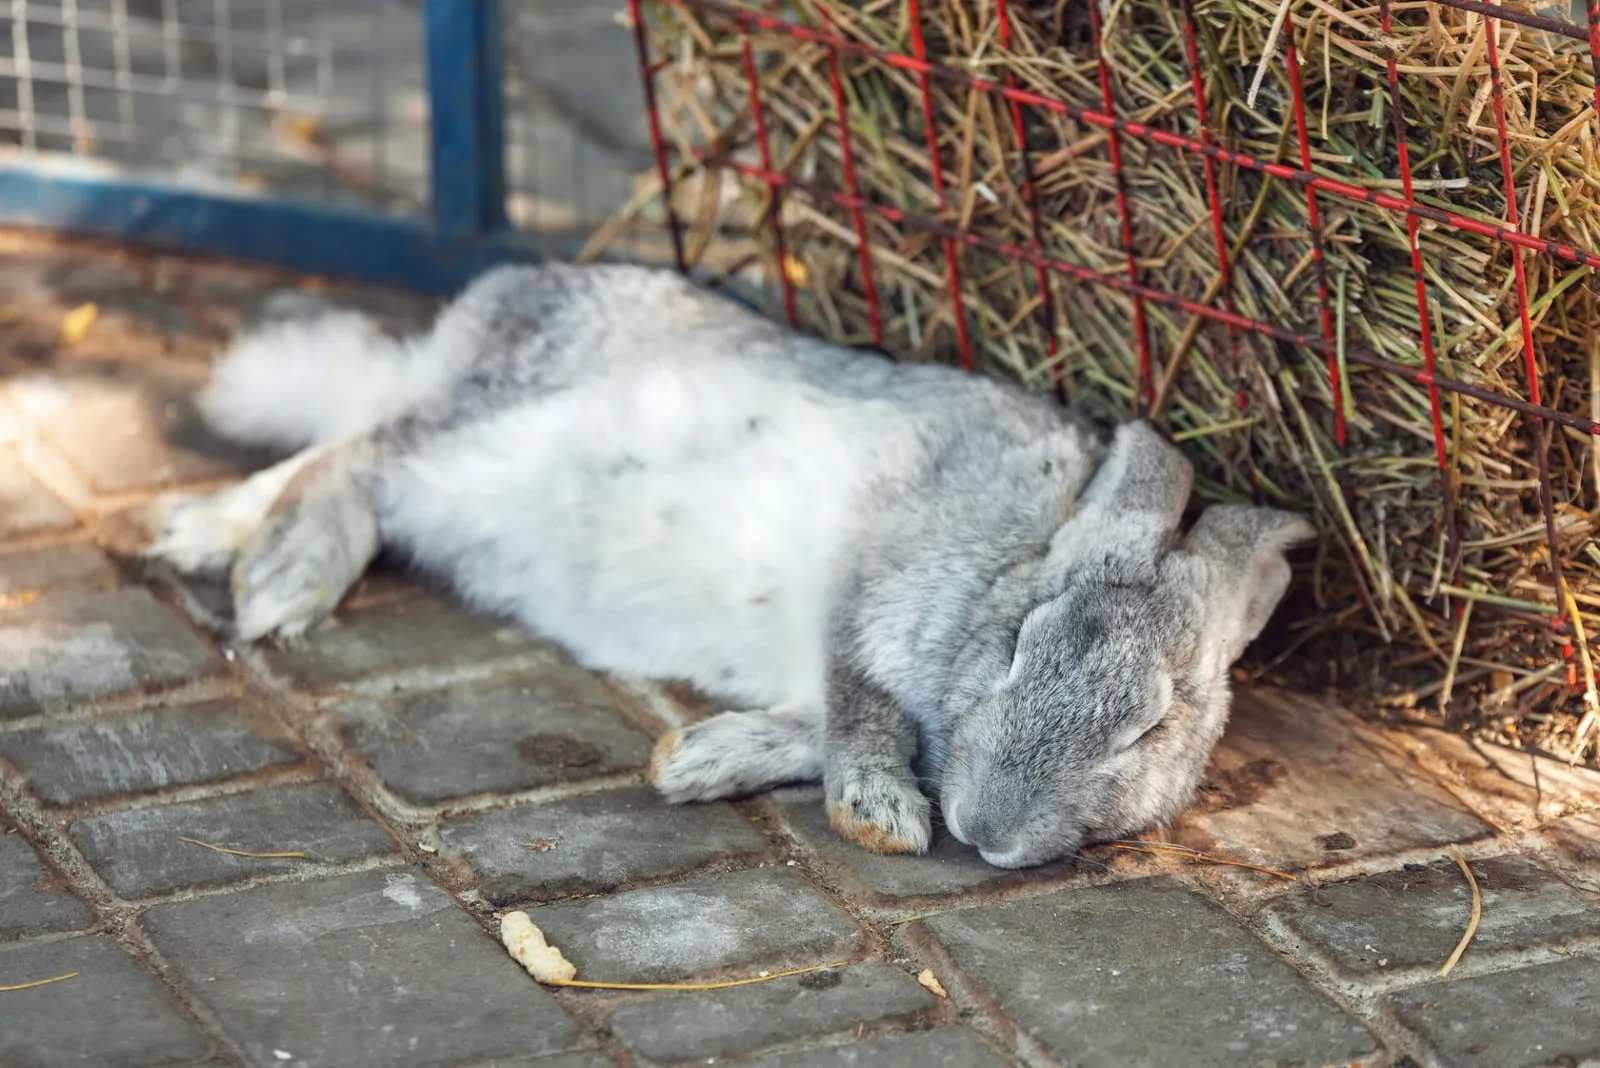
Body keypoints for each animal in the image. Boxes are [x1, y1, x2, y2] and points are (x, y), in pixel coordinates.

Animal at [148, 261, 1315, 869]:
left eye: (1151, 729)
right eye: (1021, 646)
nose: (984, 830)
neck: (1012, 559)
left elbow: (812, 722)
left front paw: (698, 759)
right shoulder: (868, 574)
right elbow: (860, 712)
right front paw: (879, 817)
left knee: (342, 446)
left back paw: (202, 530)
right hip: (479, 434)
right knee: (355, 457)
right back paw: (278, 580)